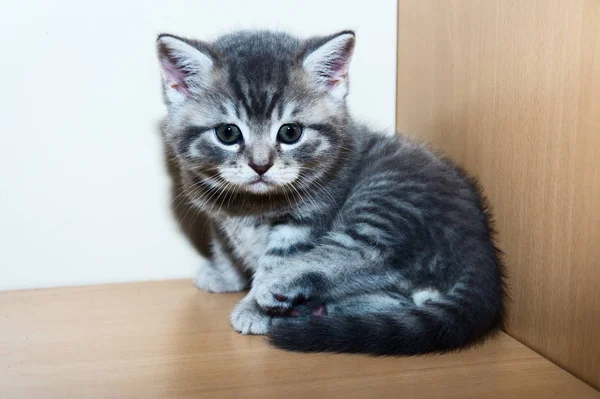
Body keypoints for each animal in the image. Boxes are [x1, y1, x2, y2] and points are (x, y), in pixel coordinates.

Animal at [157, 31, 504, 356]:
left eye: (290, 132)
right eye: (227, 133)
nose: (260, 165)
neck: (250, 204)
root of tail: (479, 243)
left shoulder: (308, 219)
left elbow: (277, 258)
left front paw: (256, 305)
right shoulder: (217, 214)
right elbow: (224, 246)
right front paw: (225, 275)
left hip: (385, 200)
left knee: (367, 254)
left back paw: (283, 288)